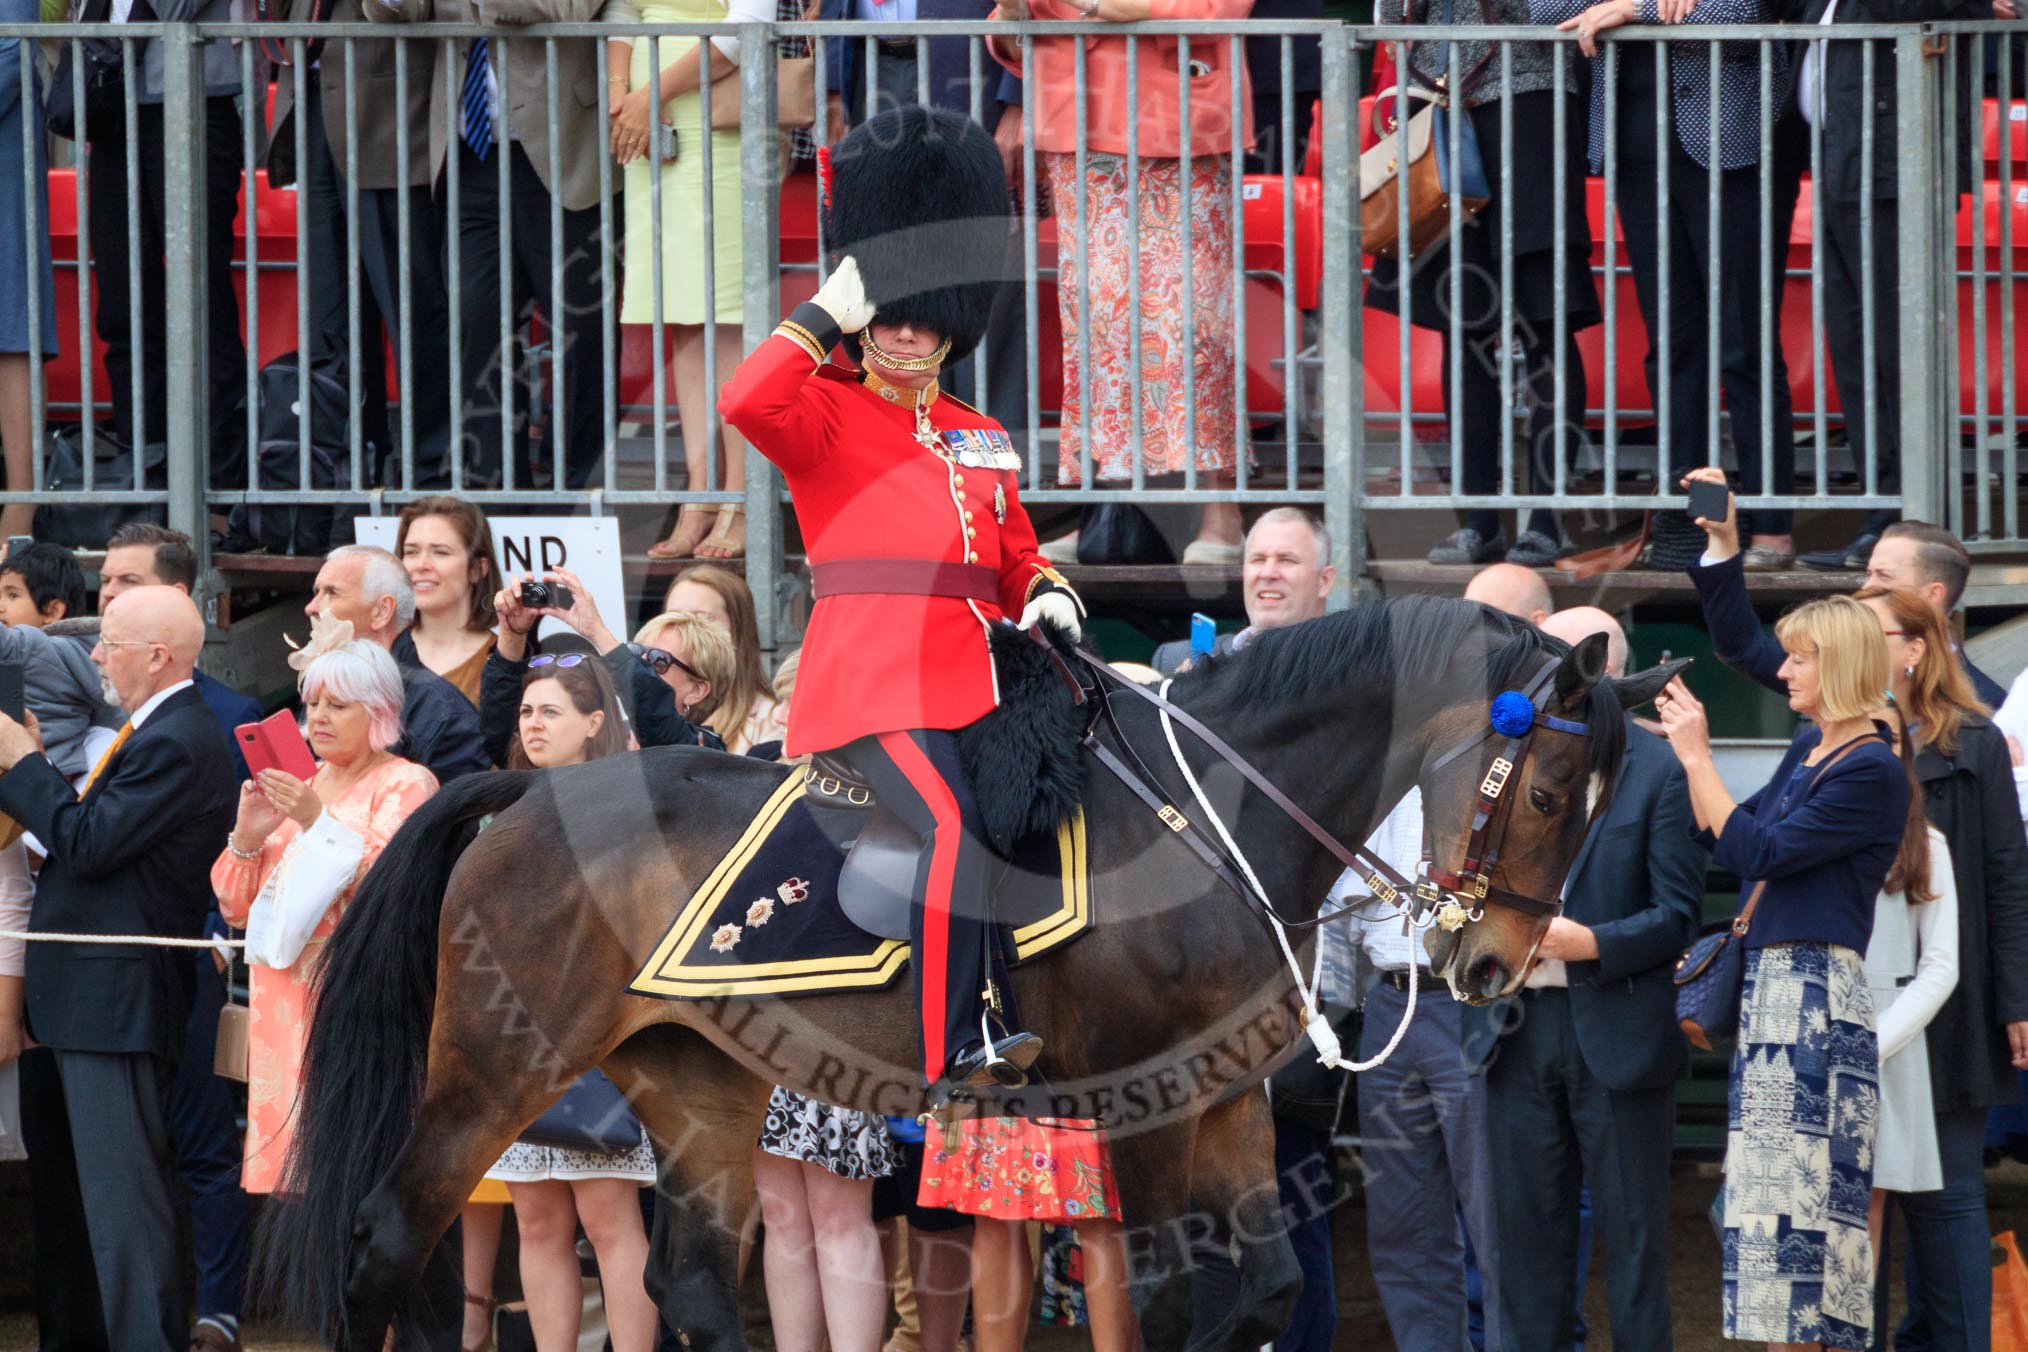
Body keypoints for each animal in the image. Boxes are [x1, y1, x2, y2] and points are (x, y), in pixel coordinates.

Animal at [253, 604, 1679, 1352]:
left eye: (1596, 801)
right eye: (1549, 786)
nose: (1490, 964)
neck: (1212, 819)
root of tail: (520, 791)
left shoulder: (1225, 1105)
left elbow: (1266, 1289)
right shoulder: (1149, 1106)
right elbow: (1171, 1297)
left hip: (697, 1080)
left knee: (695, 1284)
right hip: (497, 1063)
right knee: (388, 1238)